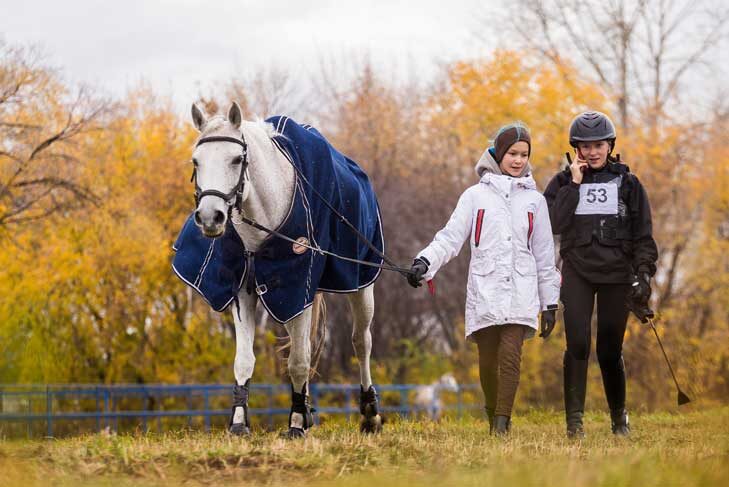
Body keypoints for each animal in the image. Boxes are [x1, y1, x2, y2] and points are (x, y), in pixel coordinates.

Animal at [181, 103, 384, 438]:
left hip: (362, 286)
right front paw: (239, 422)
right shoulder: (247, 290)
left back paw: (370, 413)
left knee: (361, 342)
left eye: (236, 159)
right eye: (196, 161)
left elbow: (298, 362)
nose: (211, 217)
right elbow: (245, 360)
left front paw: (297, 422)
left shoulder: (298, 286)